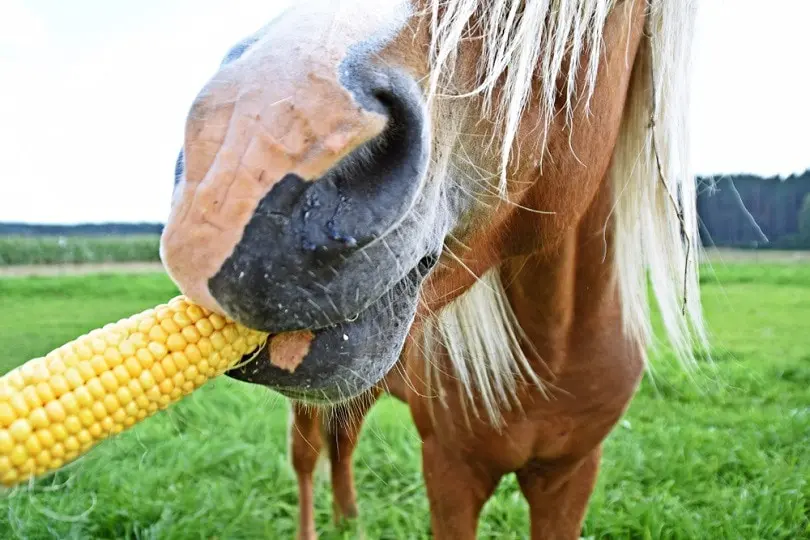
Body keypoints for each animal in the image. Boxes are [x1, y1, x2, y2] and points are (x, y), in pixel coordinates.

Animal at [159, 0, 708, 538]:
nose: (238, 157)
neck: (550, 355)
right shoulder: (450, 469)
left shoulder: (570, 474)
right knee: (308, 458)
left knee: (343, 440)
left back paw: (349, 521)